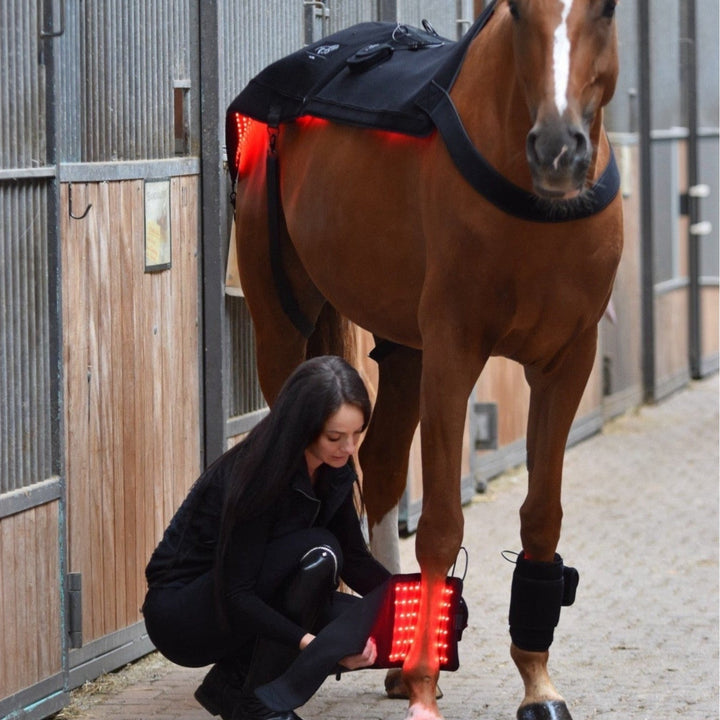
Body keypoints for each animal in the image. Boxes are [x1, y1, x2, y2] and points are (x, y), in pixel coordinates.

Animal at [230, 1, 622, 718]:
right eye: (519, 11)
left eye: (605, 10)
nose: (558, 149)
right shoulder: (453, 351)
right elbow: (441, 524)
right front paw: (421, 677)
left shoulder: (567, 360)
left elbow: (542, 516)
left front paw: (537, 682)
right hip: (281, 325)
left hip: (405, 351)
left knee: (383, 463)